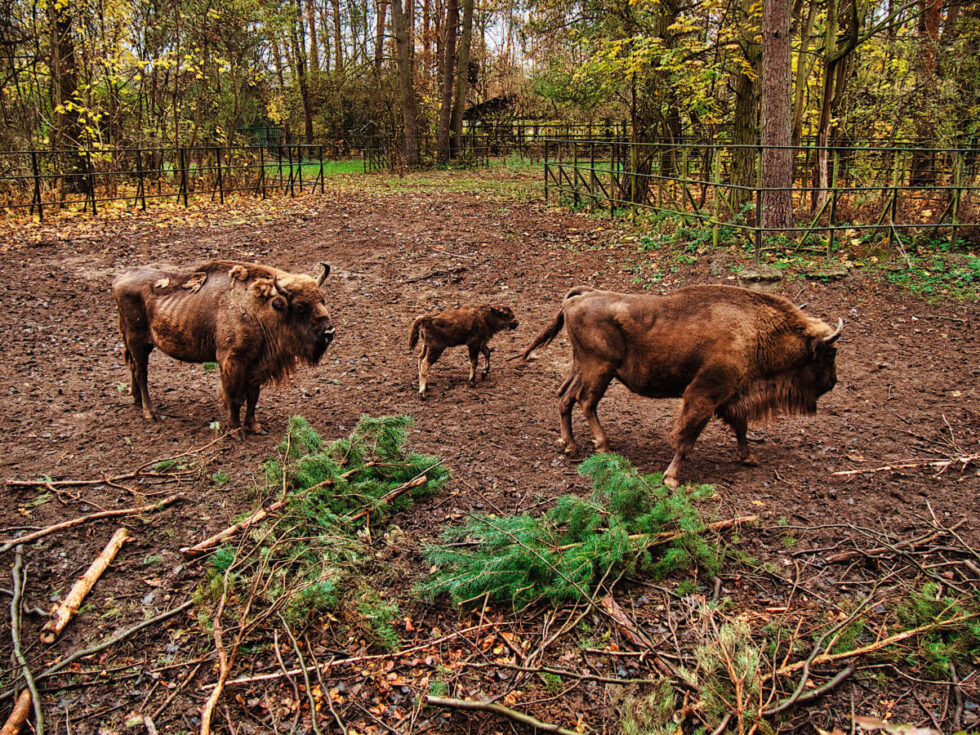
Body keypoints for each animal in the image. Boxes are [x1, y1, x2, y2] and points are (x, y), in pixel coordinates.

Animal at [111, 260, 334, 434]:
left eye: (322, 299)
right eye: (300, 307)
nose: (329, 332)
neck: (259, 308)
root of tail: (119, 279)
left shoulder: (256, 366)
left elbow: (253, 397)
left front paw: (255, 427)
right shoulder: (232, 362)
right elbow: (234, 398)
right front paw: (235, 431)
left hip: (138, 343)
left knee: (133, 368)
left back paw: (136, 401)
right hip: (138, 341)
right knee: (141, 372)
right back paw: (151, 413)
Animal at [520, 286, 844, 488]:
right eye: (830, 353)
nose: (832, 382)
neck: (754, 328)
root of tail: (578, 298)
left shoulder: (729, 395)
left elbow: (740, 425)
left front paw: (748, 457)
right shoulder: (703, 394)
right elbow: (687, 436)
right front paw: (671, 478)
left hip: (582, 366)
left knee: (565, 397)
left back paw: (570, 445)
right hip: (600, 368)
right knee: (586, 401)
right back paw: (602, 445)